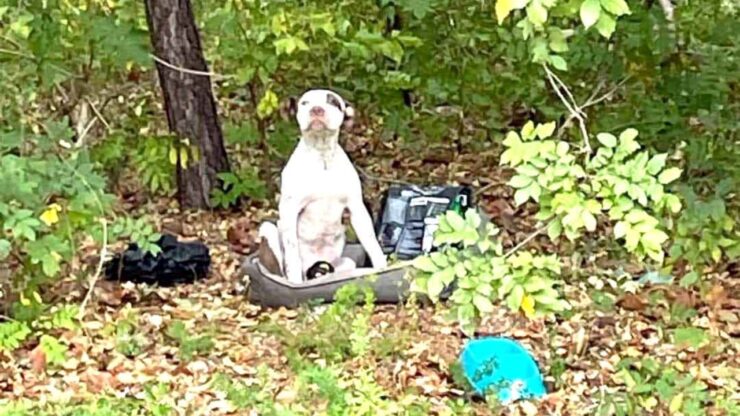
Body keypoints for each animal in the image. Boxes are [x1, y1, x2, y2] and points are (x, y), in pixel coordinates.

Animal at [258, 88, 388, 282]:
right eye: (304, 103)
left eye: (333, 102)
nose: (317, 109)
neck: (322, 156)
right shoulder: (289, 210)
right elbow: (292, 254)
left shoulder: (357, 209)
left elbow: (372, 243)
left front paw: (383, 267)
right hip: (269, 230)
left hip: (344, 263)